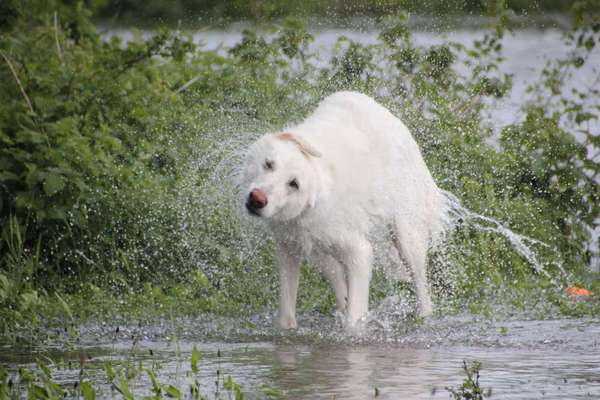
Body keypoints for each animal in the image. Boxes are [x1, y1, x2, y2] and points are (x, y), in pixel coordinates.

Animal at [241, 90, 448, 332]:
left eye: (294, 184)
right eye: (269, 164)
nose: (257, 199)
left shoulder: (359, 251)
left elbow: (354, 317)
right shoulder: (288, 246)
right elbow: (286, 311)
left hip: (406, 234)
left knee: (420, 283)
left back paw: (423, 318)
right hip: (317, 250)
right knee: (336, 275)